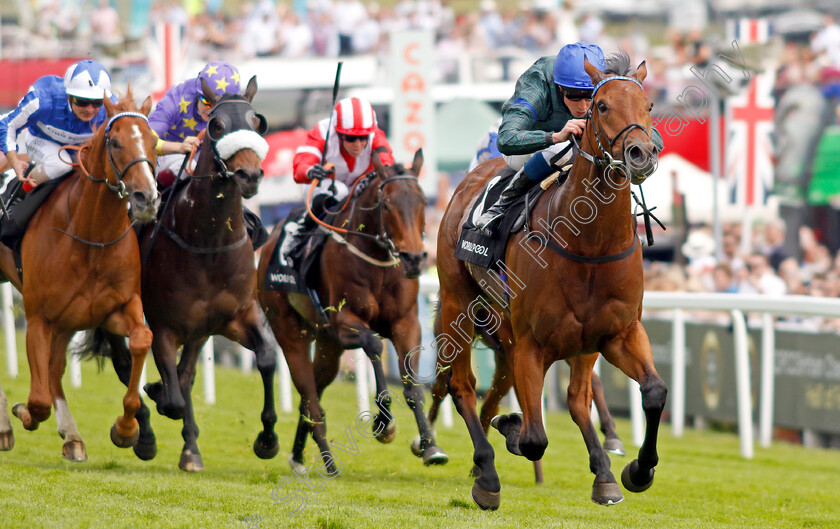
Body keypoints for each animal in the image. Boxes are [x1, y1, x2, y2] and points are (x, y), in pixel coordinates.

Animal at [0, 93, 161, 460]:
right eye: (115, 142)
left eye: (153, 140)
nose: (147, 197)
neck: (91, 236)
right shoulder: (39, 318)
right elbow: (38, 401)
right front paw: (23, 412)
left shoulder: (113, 309)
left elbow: (142, 340)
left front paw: (126, 429)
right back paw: (5, 425)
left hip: (68, 320)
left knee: (55, 368)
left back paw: (72, 435)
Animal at [93, 75, 274, 470]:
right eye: (217, 125)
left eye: (258, 123)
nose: (249, 175)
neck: (208, 245)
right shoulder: (164, 326)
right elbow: (171, 397)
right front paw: (156, 393)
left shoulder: (237, 315)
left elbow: (267, 358)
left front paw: (267, 440)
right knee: (125, 365)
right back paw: (142, 434)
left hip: (199, 332)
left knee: (186, 375)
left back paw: (190, 450)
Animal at [260, 150, 450, 474]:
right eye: (387, 204)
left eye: (423, 200)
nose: (414, 258)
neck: (378, 263)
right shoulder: (342, 323)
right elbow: (373, 343)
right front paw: (384, 423)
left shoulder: (406, 324)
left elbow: (412, 386)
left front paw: (430, 446)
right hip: (290, 332)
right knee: (309, 395)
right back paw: (326, 461)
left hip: (327, 347)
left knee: (313, 393)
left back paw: (298, 456)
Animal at [436, 52, 668, 508]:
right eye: (601, 106)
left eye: (648, 105)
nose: (640, 154)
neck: (589, 245)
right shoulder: (531, 343)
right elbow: (533, 439)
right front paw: (509, 433)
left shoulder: (619, 333)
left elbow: (653, 391)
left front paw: (637, 470)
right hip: (459, 304)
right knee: (463, 386)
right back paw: (486, 473)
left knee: (573, 399)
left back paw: (602, 473)